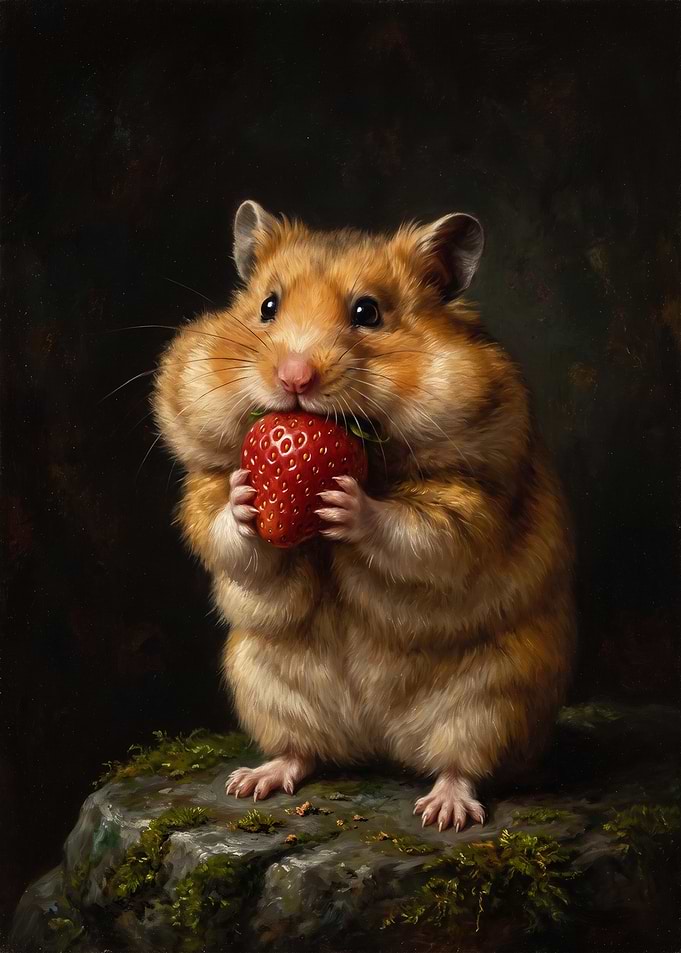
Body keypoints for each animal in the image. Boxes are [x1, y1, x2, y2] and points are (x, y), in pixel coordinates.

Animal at [153, 200, 575, 831]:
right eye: (267, 307)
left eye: (367, 312)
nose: (294, 378)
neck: (369, 449)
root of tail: (379, 744)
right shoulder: (201, 486)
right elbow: (221, 526)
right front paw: (246, 497)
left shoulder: (471, 496)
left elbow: (422, 532)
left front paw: (344, 503)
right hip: (262, 682)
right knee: (303, 751)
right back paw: (253, 781)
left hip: (494, 700)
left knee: (462, 762)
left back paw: (444, 811)